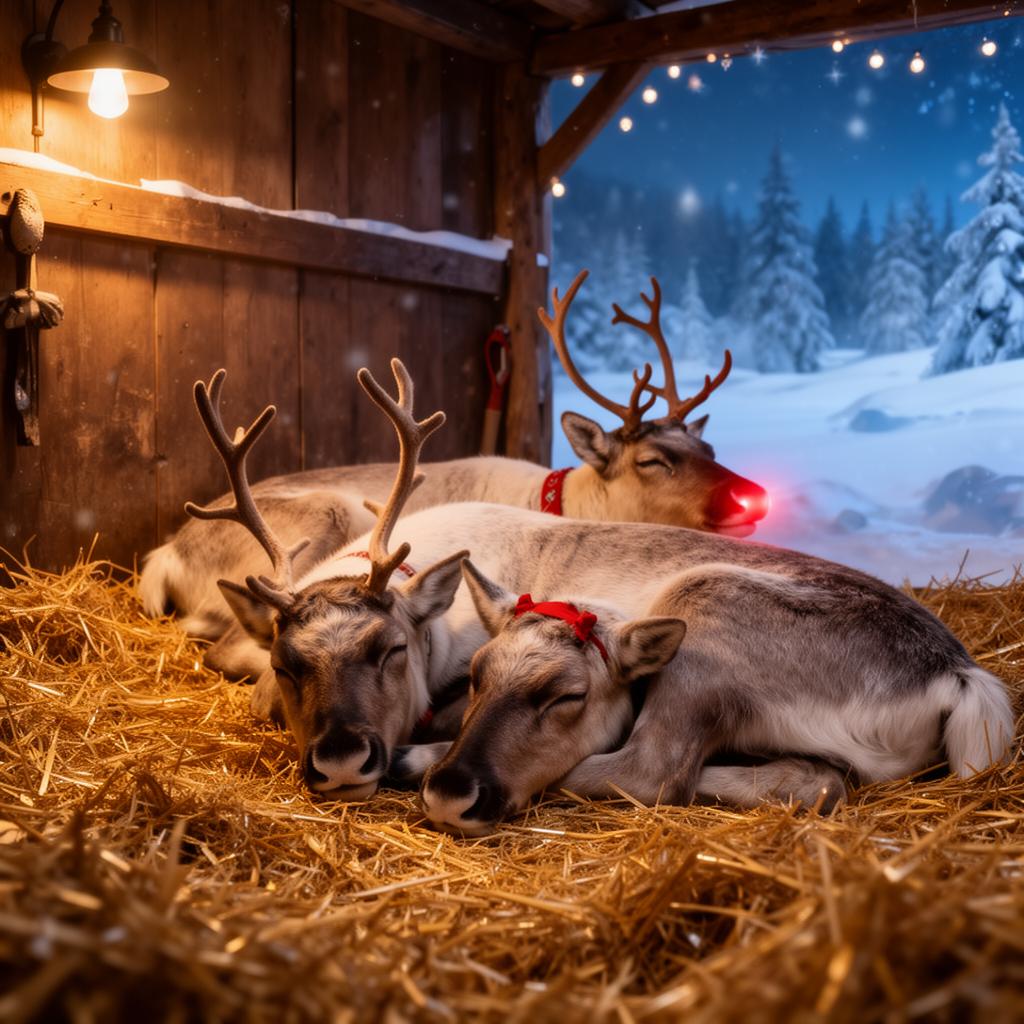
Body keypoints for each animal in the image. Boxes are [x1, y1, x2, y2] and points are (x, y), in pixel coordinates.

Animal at [139, 270, 767, 660]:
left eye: (710, 451)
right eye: (652, 460)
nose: (752, 497)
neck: (565, 496)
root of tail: (164, 554)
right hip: (327, 516)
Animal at [184, 353, 1012, 816]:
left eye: (389, 650)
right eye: (291, 665)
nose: (341, 759)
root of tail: (959, 673)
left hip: (704, 612)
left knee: (652, 770)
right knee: (813, 778)